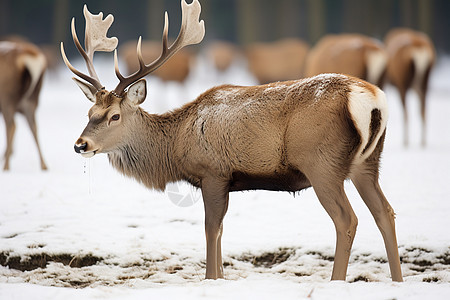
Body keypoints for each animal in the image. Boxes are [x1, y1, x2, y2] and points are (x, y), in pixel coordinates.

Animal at [0, 40, 47, 171]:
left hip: (7, 97)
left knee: (11, 125)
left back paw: (6, 166)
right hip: (31, 100)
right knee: (34, 126)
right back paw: (44, 166)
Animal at [61, 0, 402, 282]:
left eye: (114, 116)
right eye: (90, 111)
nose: (80, 144)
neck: (176, 147)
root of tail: (372, 99)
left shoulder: (213, 172)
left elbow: (211, 229)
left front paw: (212, 278)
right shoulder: (224, 181)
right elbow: (222, 229)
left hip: (322, 163)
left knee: (347, 219)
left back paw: (336, 282)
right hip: (367, 163)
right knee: (385, 212)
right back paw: (397, 280)